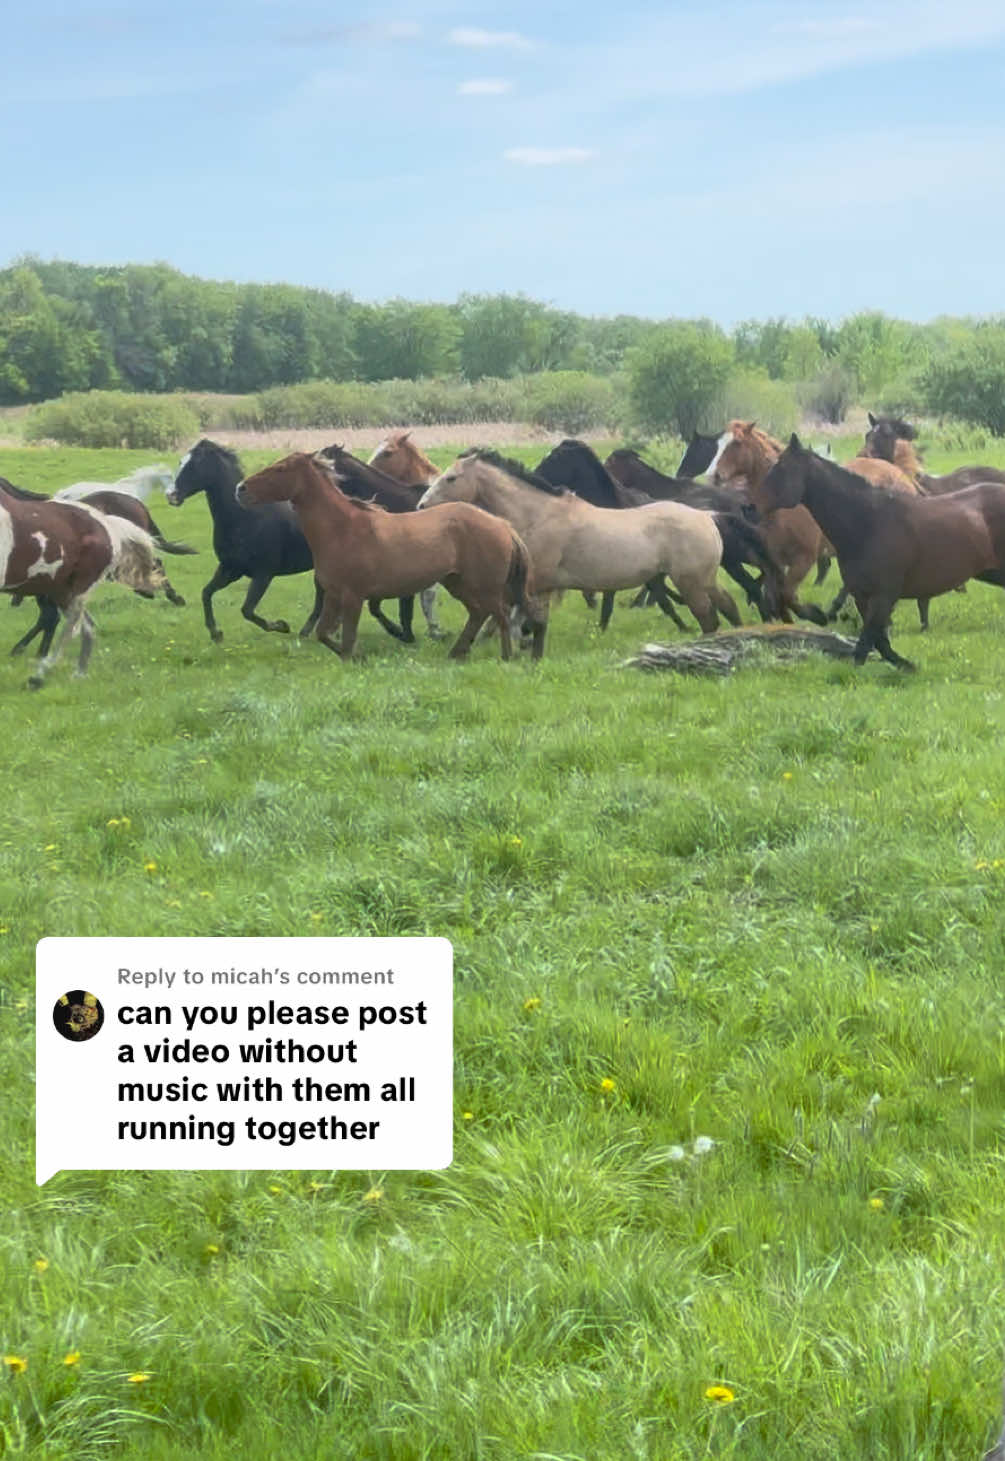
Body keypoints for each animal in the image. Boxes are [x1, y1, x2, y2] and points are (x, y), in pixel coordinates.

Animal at [236, 452, 545, 662]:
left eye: (281, 468)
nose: (241, 488)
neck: (342, 529)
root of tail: (502, 525)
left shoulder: (353, 596)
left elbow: (346, 639)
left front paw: (355, 656)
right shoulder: (335, 594)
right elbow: (323, 633)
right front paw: (358, 655)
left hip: (485, 585)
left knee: (501, 614)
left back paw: (507, 656)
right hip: (457, 583)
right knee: (480, 613)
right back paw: (458, 653)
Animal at [418, 450, 737, 635]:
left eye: (451, 478)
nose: (421, 506)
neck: (538, 514)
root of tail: (707, 517)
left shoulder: (537, 581)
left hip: (690, 581)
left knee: (709, 617)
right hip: (704, 579)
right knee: (728, 606)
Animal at [752, 435, 1005, 669]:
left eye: (781, 469)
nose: (749, 507)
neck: (869, 522)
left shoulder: (884, 595)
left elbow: (866, 642)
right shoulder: (863, 595)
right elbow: (876, 641)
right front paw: (904, 664)